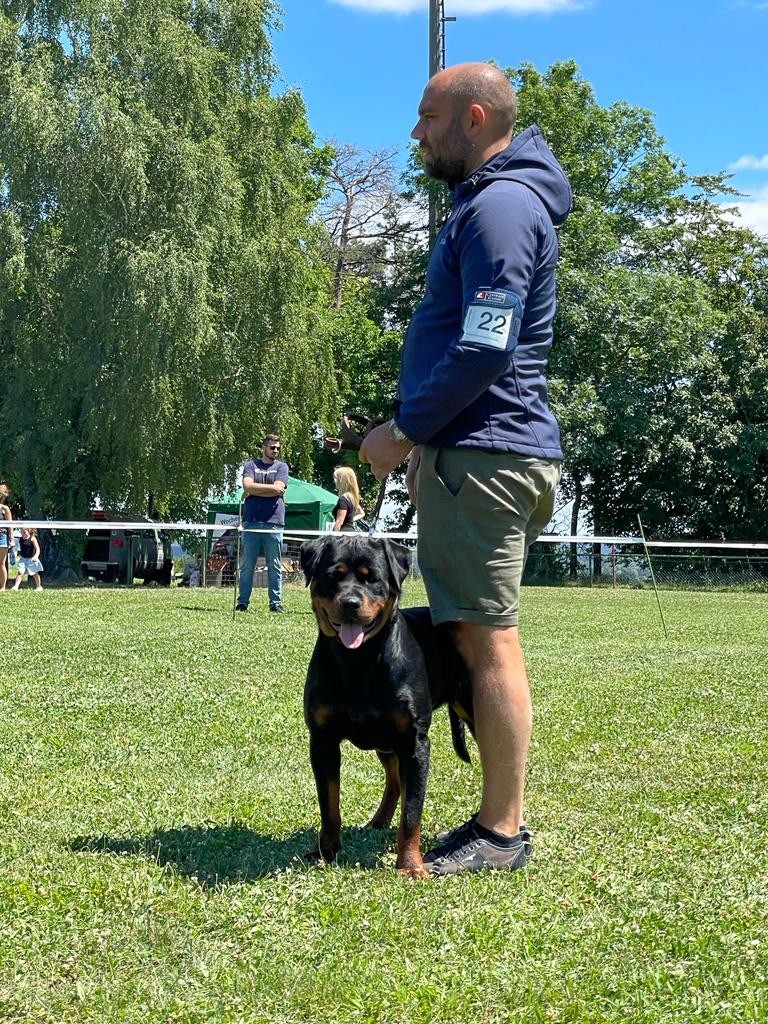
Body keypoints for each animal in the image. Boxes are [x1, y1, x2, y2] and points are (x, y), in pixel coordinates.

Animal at [303, 532, 475, 876]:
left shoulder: (414, 743)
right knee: (394, 781)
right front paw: (325, 852)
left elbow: (412, 813)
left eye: (372, 579)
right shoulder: (323, 740)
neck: (359, 661)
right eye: (333, 576)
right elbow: (329, 804)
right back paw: (378, 820)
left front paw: (410, 865)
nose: (350, 603)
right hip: (384, 741)